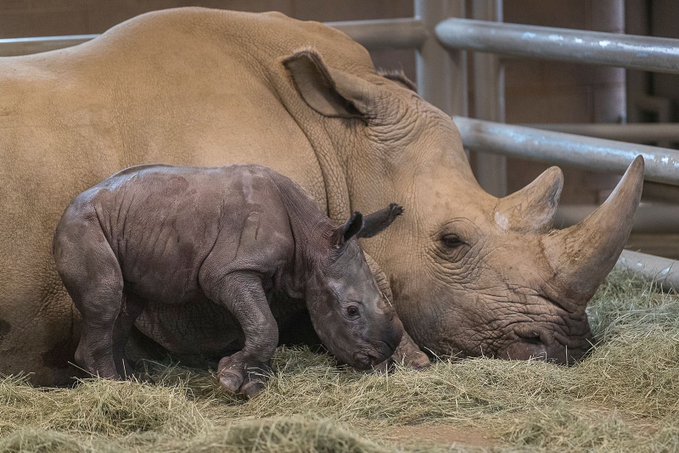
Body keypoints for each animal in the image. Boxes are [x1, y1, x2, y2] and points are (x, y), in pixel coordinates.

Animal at [54, 163, 404, 396]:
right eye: (351, 311)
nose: (379, 355)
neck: (313, 242)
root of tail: (69, 208)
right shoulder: (229, 271)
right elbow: (265, 324)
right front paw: (232, 380)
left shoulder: (254, 273)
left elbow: (260, 323)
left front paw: (253, 382)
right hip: (82, 227)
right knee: (106, 298)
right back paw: (115, 389)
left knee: (127, 306)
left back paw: (133, 382)